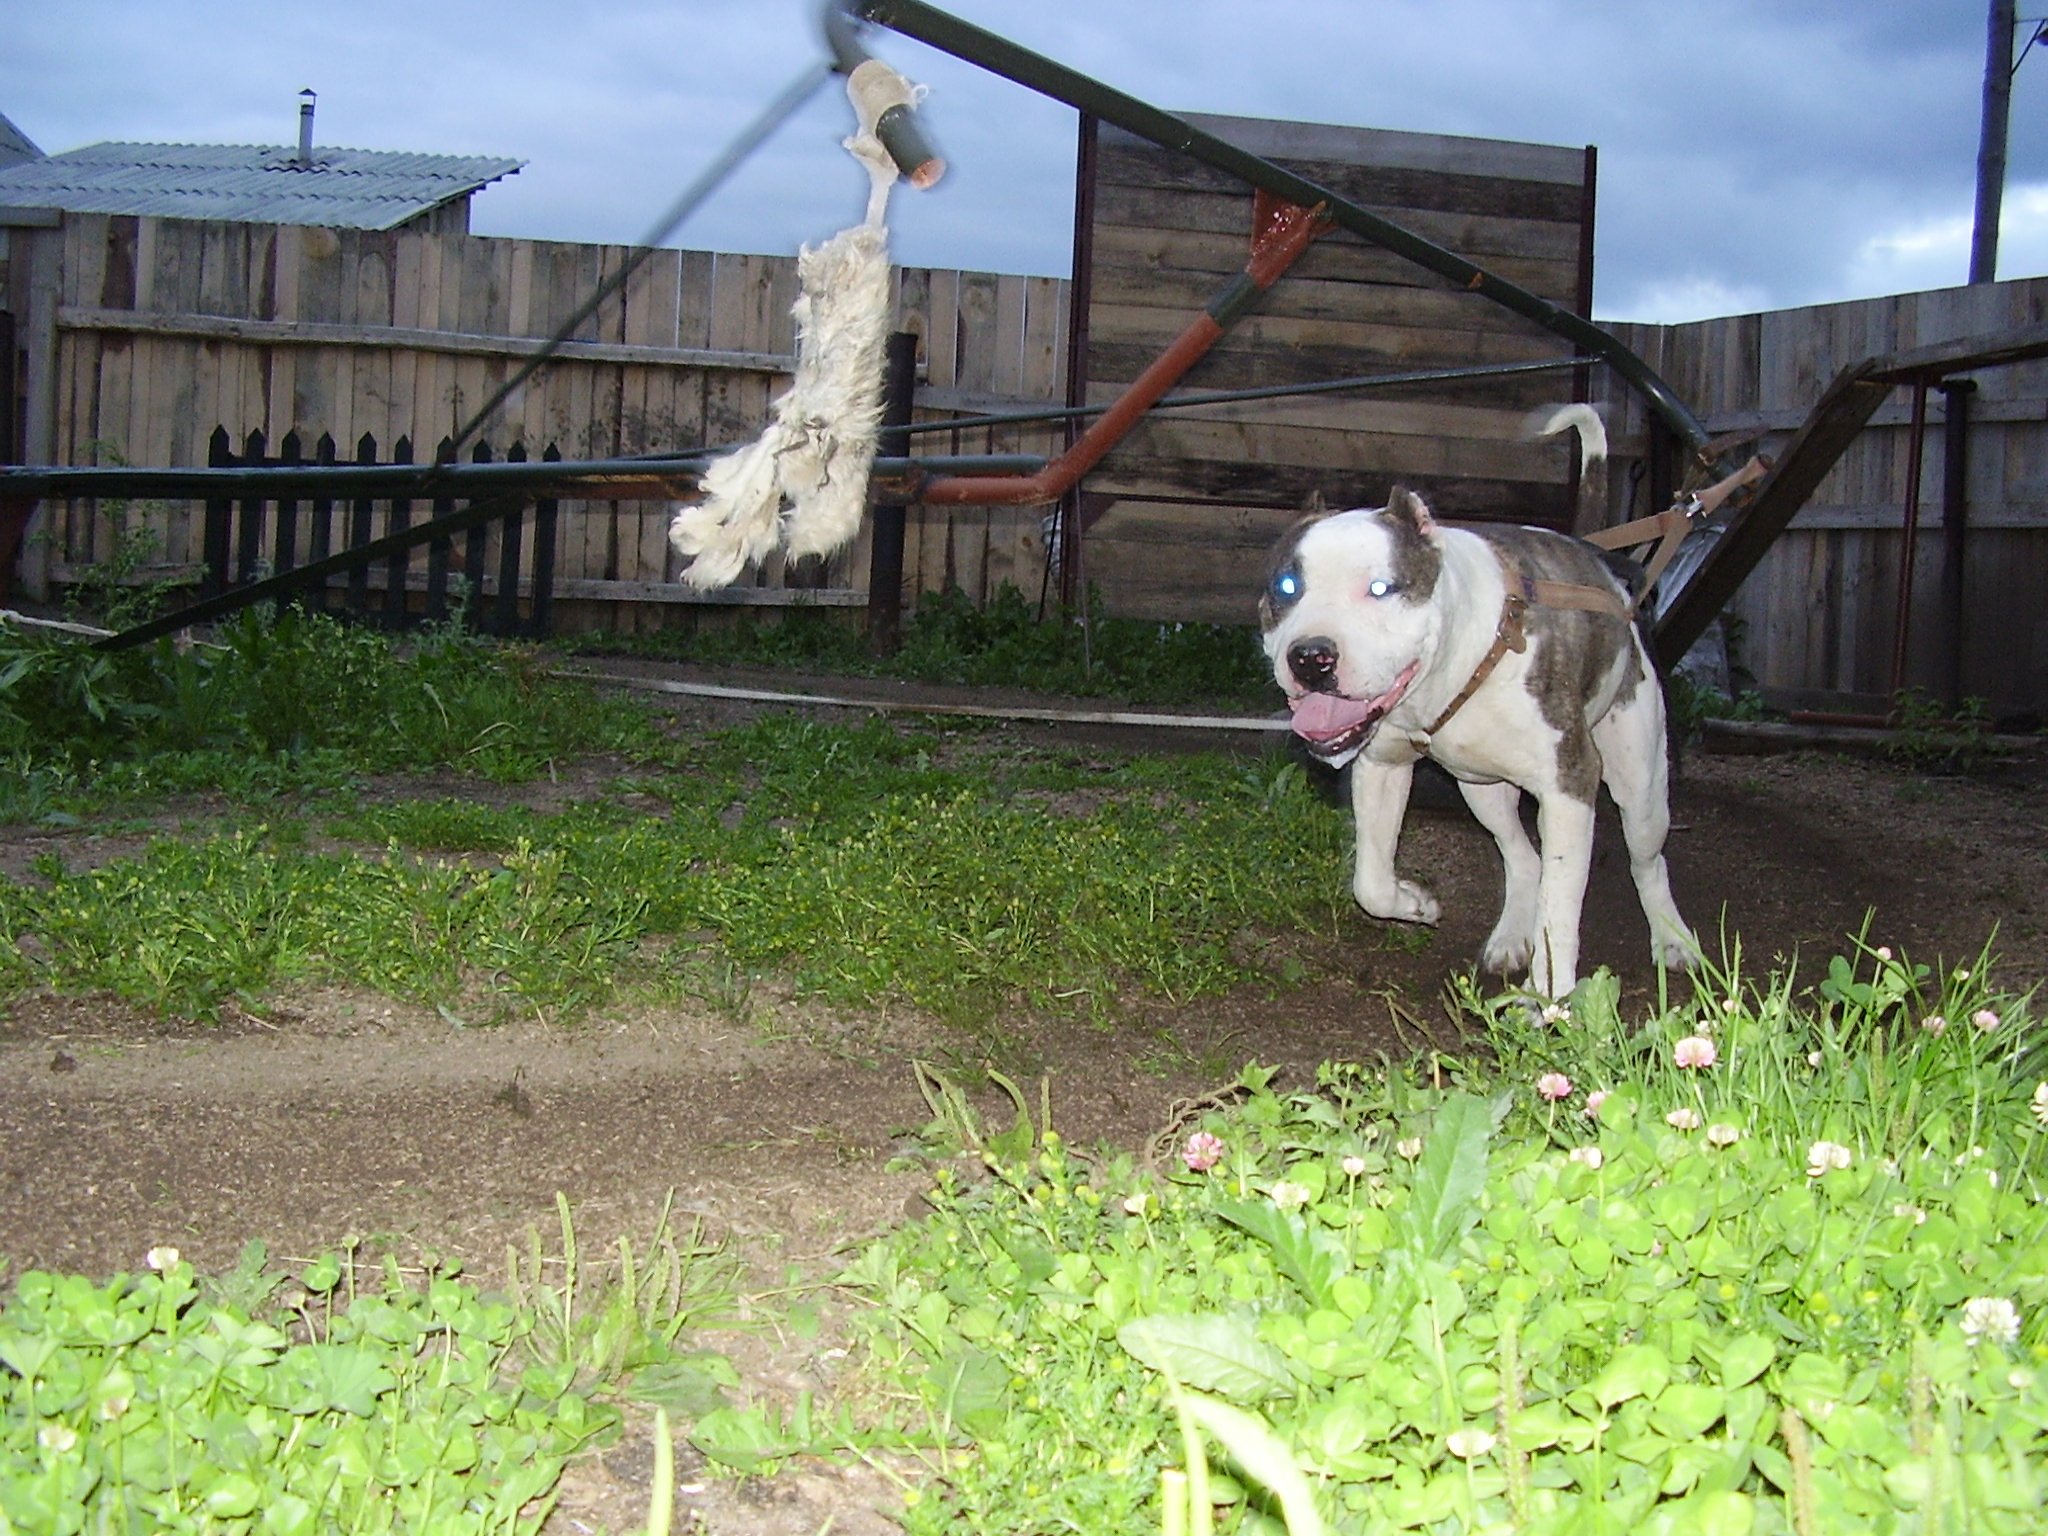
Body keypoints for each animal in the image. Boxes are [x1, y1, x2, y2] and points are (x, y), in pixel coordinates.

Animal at [1259, 466, 1698, 997]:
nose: (1310, 657)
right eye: (1286, 587)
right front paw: (1414, 902)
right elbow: (1371, 883)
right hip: (1481, 788)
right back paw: (1510, 937)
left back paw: (1673, 940)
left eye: (1381, 588)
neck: (1446, 670)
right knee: (1523, 857)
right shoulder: (1383, 764)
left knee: (1648, 861)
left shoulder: (1568, 785)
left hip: (1641, 784)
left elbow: (1559, 911)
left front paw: (1550, 1000)